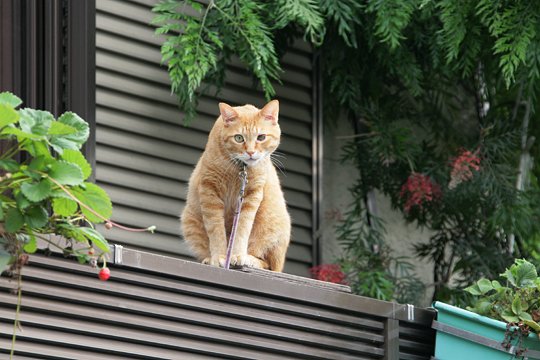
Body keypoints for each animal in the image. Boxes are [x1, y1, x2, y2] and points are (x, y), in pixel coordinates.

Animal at [180, 100, 292, 272]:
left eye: (261, 137)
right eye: (239, 138)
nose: (251, 152)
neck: (239, 168)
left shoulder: (251, 196)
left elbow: (242, 229)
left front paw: (238, 255)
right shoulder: (209, 191)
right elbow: (216, 230)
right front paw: (218, 257)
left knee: (266, 263)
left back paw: (249, 259)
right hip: (190, 220)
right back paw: (209, 258)